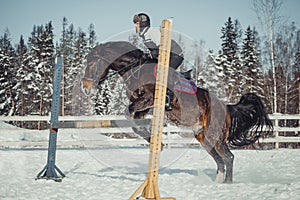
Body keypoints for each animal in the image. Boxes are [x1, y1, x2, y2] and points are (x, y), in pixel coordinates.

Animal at [81, 40, 274, 183]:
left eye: (92, 63)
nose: (85, 87)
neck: (135, 69)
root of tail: (226, 108)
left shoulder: (147, 100)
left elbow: (129, 112)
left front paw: (157, 143)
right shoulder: (145, 107)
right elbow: (134, 122)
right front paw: (156, 143)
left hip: (215, 136)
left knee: (229, 158)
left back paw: (227, 184)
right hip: (203, 137)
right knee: (220, 160)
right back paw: (217, 182)